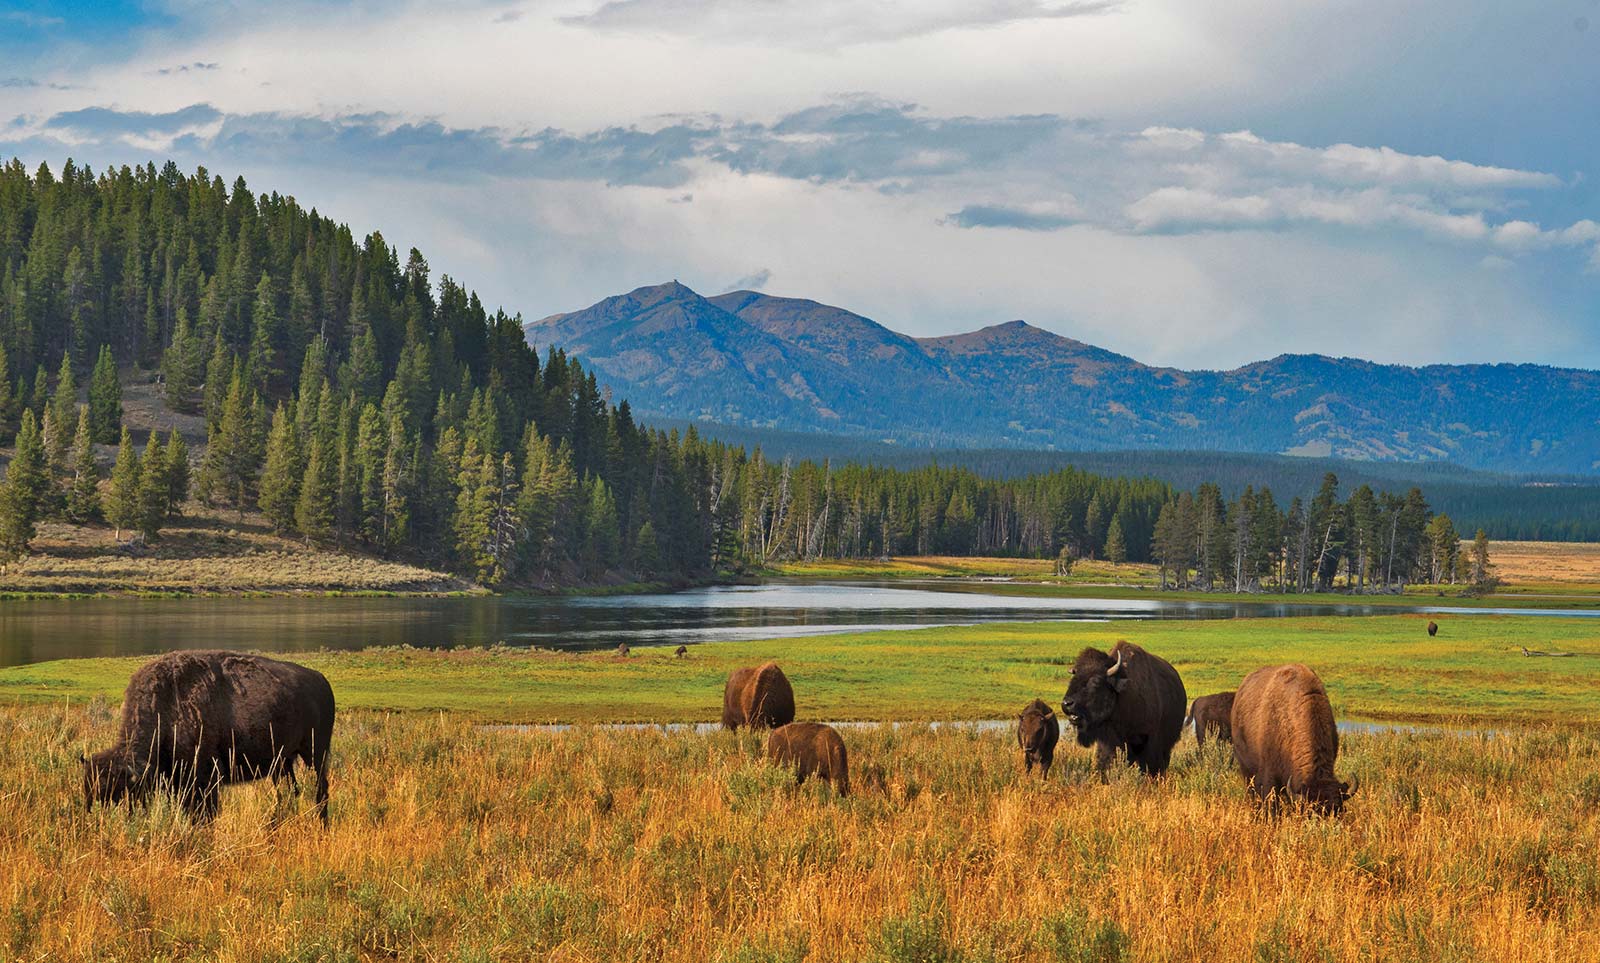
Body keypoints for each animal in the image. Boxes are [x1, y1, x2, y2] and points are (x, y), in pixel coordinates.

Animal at [82, 649, 336, 819]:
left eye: (119, 794)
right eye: (89, 794)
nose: (101, 821)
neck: (168, 706)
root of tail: (321, 680)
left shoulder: (205, 779)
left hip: (315, 753)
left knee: (320, 789)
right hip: (283, 762)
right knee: (290, 791)